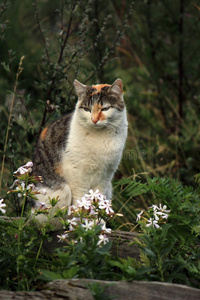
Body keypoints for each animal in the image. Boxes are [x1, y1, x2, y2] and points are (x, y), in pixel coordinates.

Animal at [31, 78, 127, 226]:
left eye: (105, 108)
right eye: (87, 109)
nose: (94, 119)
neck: (99, 138)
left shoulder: (106, 175)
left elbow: (97, 199)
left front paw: (96, 222)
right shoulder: (77, 173)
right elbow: (80, 200)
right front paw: (83, 223)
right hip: (61, 192)